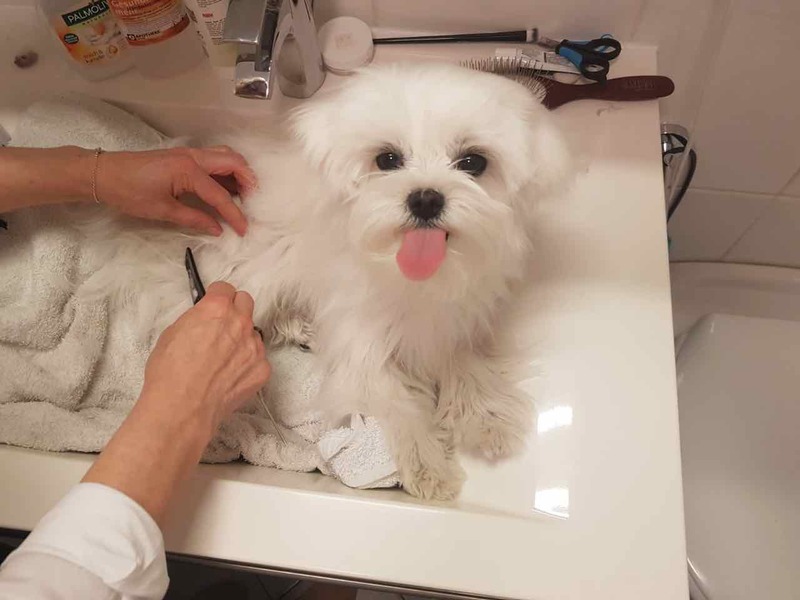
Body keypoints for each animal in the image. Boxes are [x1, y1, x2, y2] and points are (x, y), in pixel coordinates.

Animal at [80, 62, 571, 500]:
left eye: (473, 162)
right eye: (387, 159)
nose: (426, 198)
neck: (413, 278)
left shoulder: (453, 317)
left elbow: (466, 361)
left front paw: (486, 418)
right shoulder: (362, 339)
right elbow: (393, 397)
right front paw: (428, 465)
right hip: (254, 271)